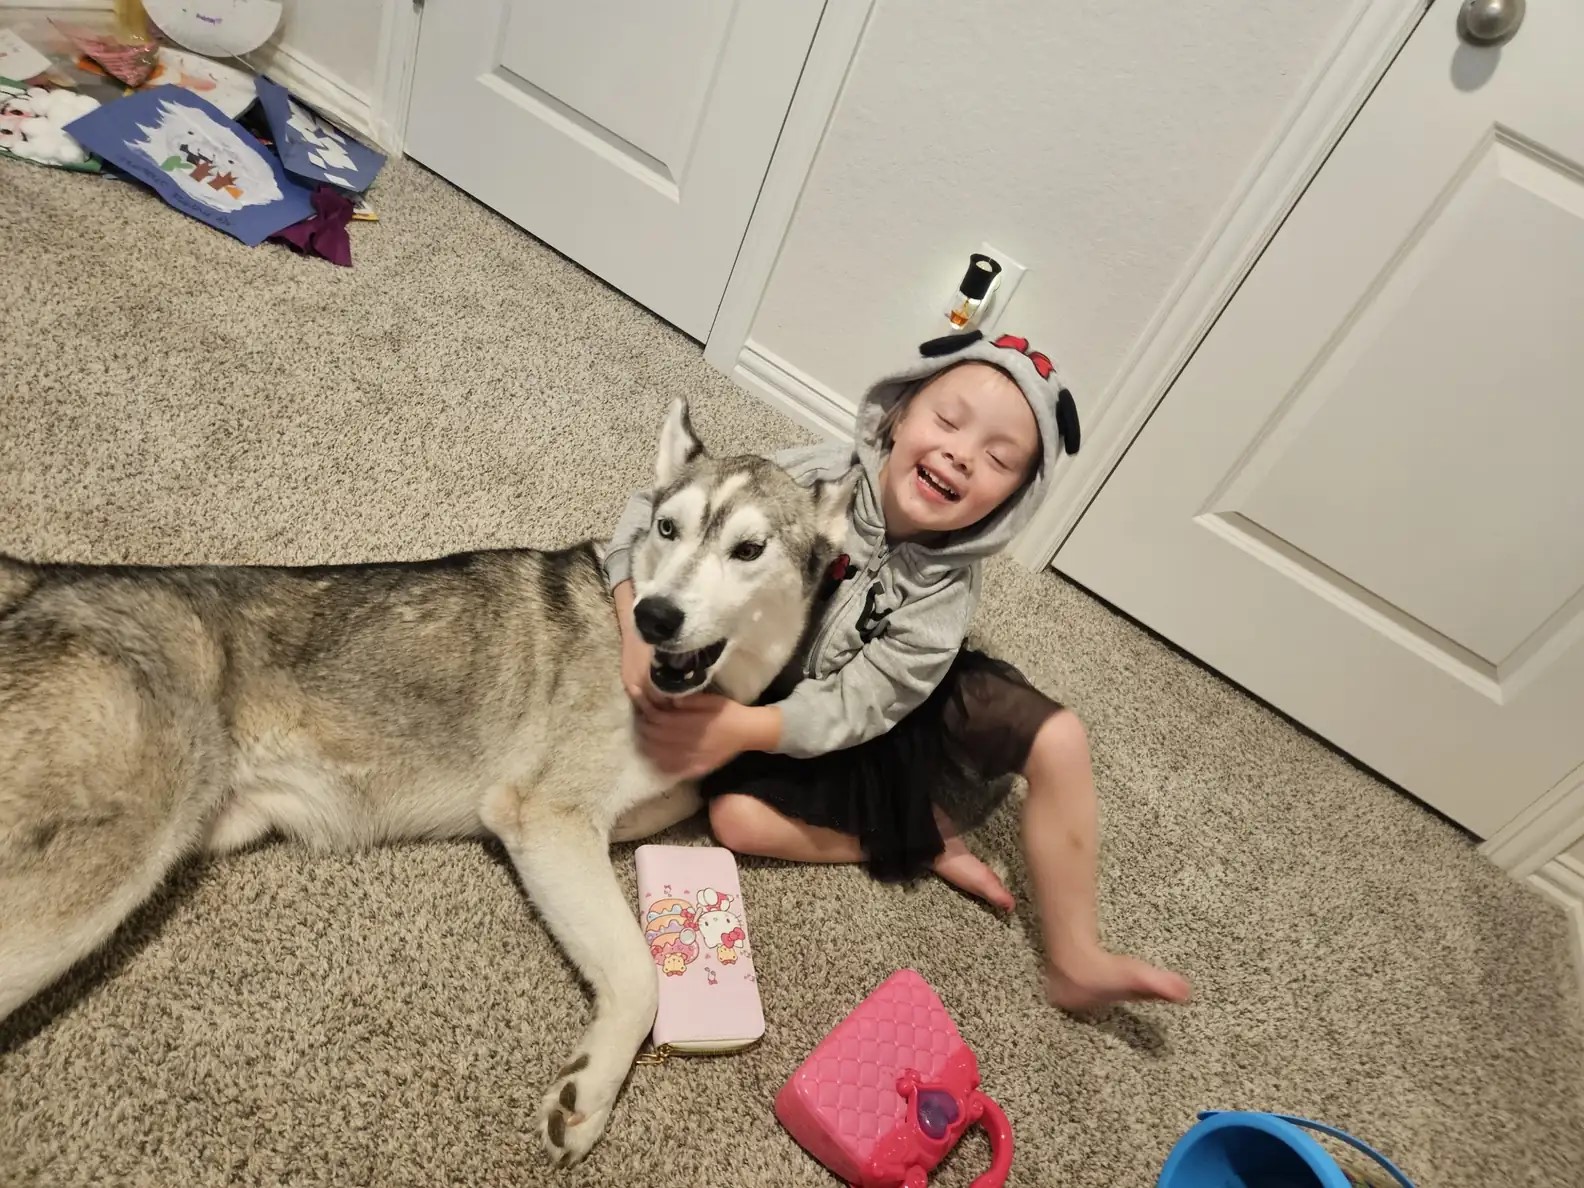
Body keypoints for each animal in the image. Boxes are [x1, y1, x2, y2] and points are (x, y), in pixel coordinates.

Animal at [0, 405, 855, 1165]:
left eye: (749, 548)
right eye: (667, 530)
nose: (654, 616)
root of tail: (48, 583)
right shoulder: (542, 817)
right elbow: (639, 973)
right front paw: (588, 1094)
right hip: (99, 869)